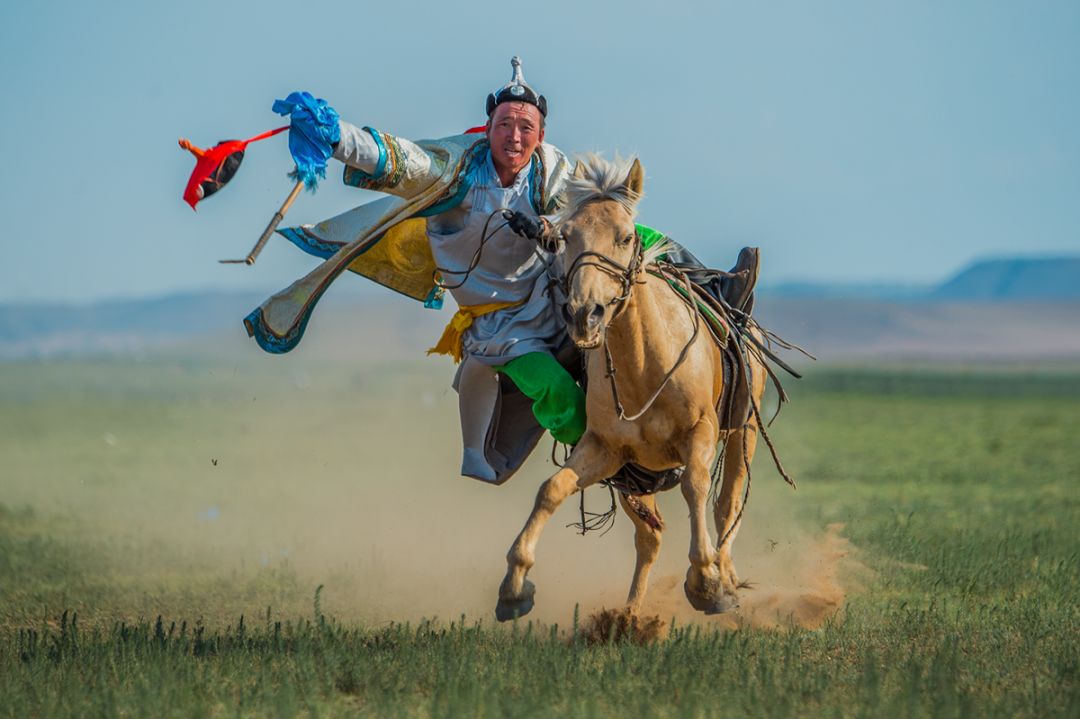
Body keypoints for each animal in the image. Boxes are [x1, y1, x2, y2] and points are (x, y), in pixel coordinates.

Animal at [496, 154, 768, 617]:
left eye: (625, 236)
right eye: (564, 237)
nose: (584, 315)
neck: (646, 367)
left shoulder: (702, 432)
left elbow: (697, 486)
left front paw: (708, 581)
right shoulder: (605, 449)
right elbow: (552, 489)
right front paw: (514, 584)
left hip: (743, 430)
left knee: (726, 504)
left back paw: (727, 576)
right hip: (636, 477)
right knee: (649, 537)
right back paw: (629, 617)